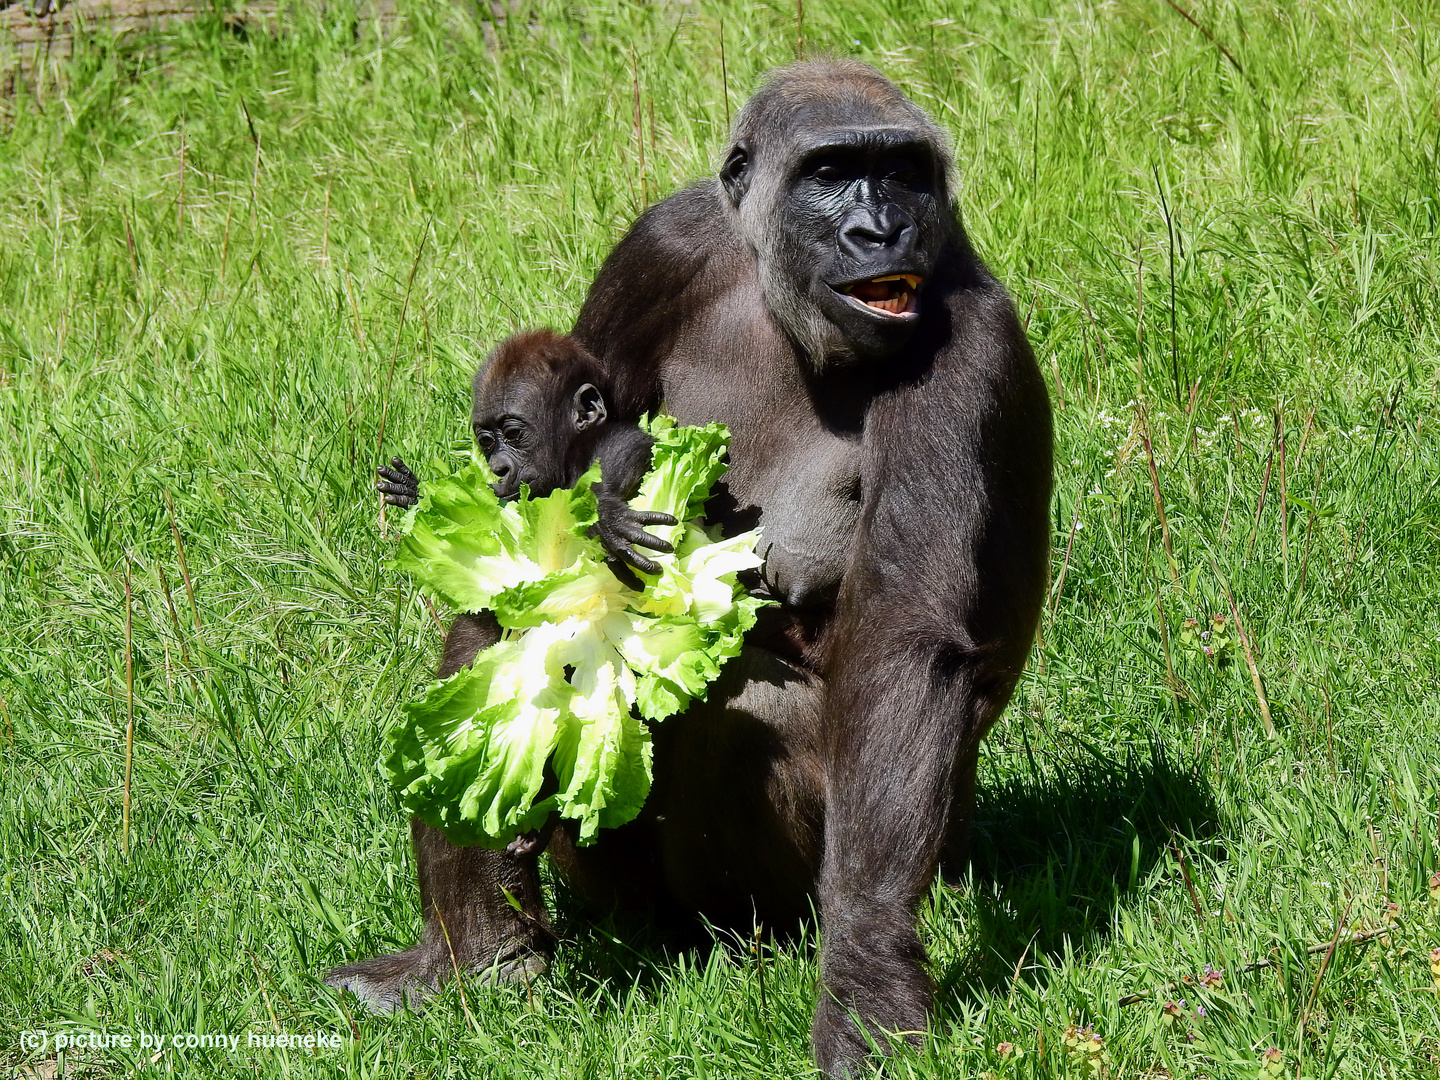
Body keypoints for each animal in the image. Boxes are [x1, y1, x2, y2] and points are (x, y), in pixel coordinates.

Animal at [377, 328, 679, 584]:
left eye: (513, 434)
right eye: (486, 442)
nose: (499, 467)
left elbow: (628, 445)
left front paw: (604, 514)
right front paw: (416, 494)